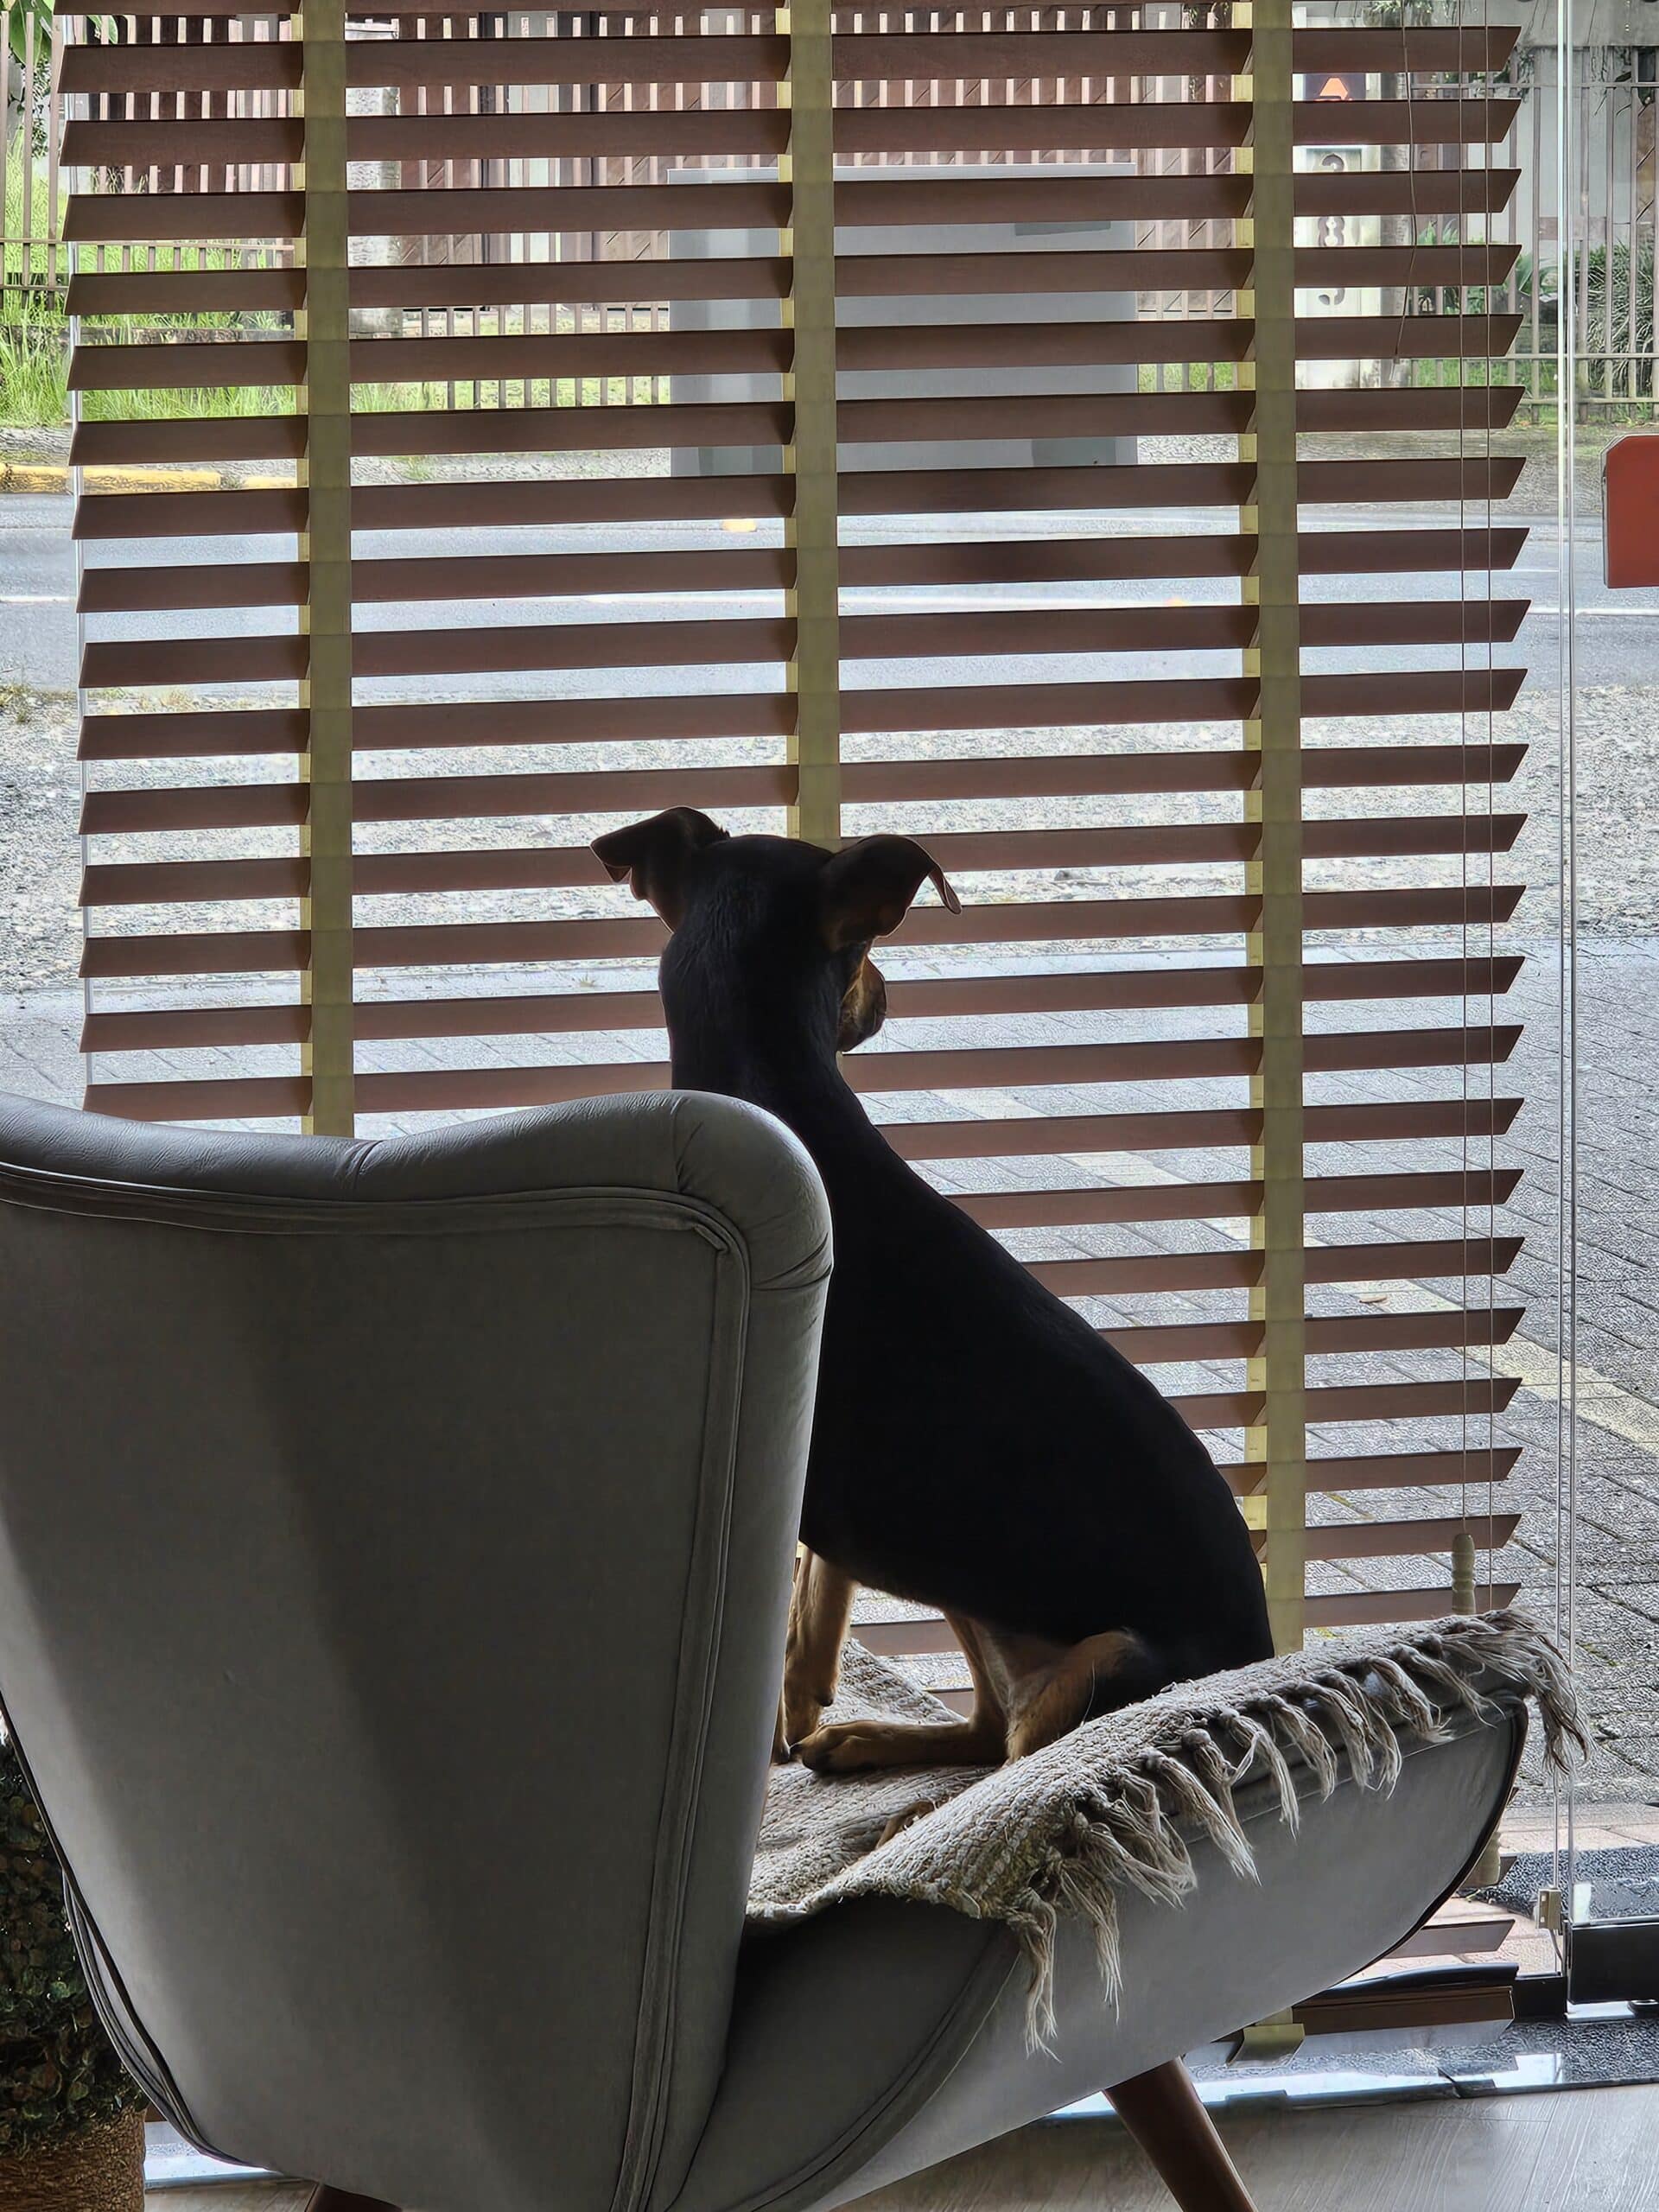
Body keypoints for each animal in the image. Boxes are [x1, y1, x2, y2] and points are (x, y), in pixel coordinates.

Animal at [593, 808, 1274, 1773]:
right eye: (868, 948)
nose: (884, 1002)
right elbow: (812, 1608)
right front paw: (800, 1703)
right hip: (970, 1589)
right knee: (991, 1730)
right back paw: (863, 1742)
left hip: (1105, 1657)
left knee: (1018, 1760)